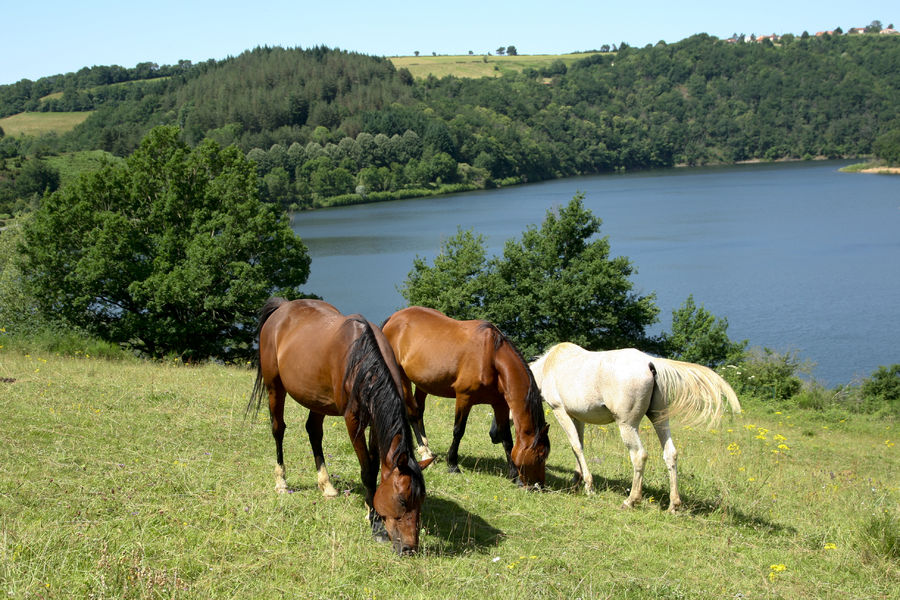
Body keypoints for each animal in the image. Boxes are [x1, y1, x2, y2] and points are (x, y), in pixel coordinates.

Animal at [250, 298, 432, 556]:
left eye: (422, 500)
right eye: (403, 500)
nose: (409, 548)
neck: (362, 363)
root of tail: (283, 306)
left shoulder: (374, 422)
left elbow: (375, 463)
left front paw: (371, 509)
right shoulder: (353, 421)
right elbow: (368, 470)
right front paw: (375, 523)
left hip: (317, 399)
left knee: (314, 431)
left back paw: (326, 485)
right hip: (274, 387)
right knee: (278, 429)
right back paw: (281, 482)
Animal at [380, 308, 548, 486]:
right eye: (540, 456)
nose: (539, 486)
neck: (491, 356)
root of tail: (393, 318)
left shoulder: (500, 404)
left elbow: (506, 438)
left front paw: (514, 476)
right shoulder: (464, 398)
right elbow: (458, 431)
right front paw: (453, 465)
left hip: (422, 383)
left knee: (419, 411)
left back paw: (427, 451)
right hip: (401, 375)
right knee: (412, 412)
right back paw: (424, 451)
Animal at [532, 342, 740, 510]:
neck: (548, 366)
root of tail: (651, 363)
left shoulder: (560, 411)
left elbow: (575, 446)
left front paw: (589, 486)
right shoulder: (577, 417)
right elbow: (579, 447)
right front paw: (577, 481)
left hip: (627, 425)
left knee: (639, 455)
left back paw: (631, 500)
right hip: (659, 418)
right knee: (670, 453)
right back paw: (673, 504)